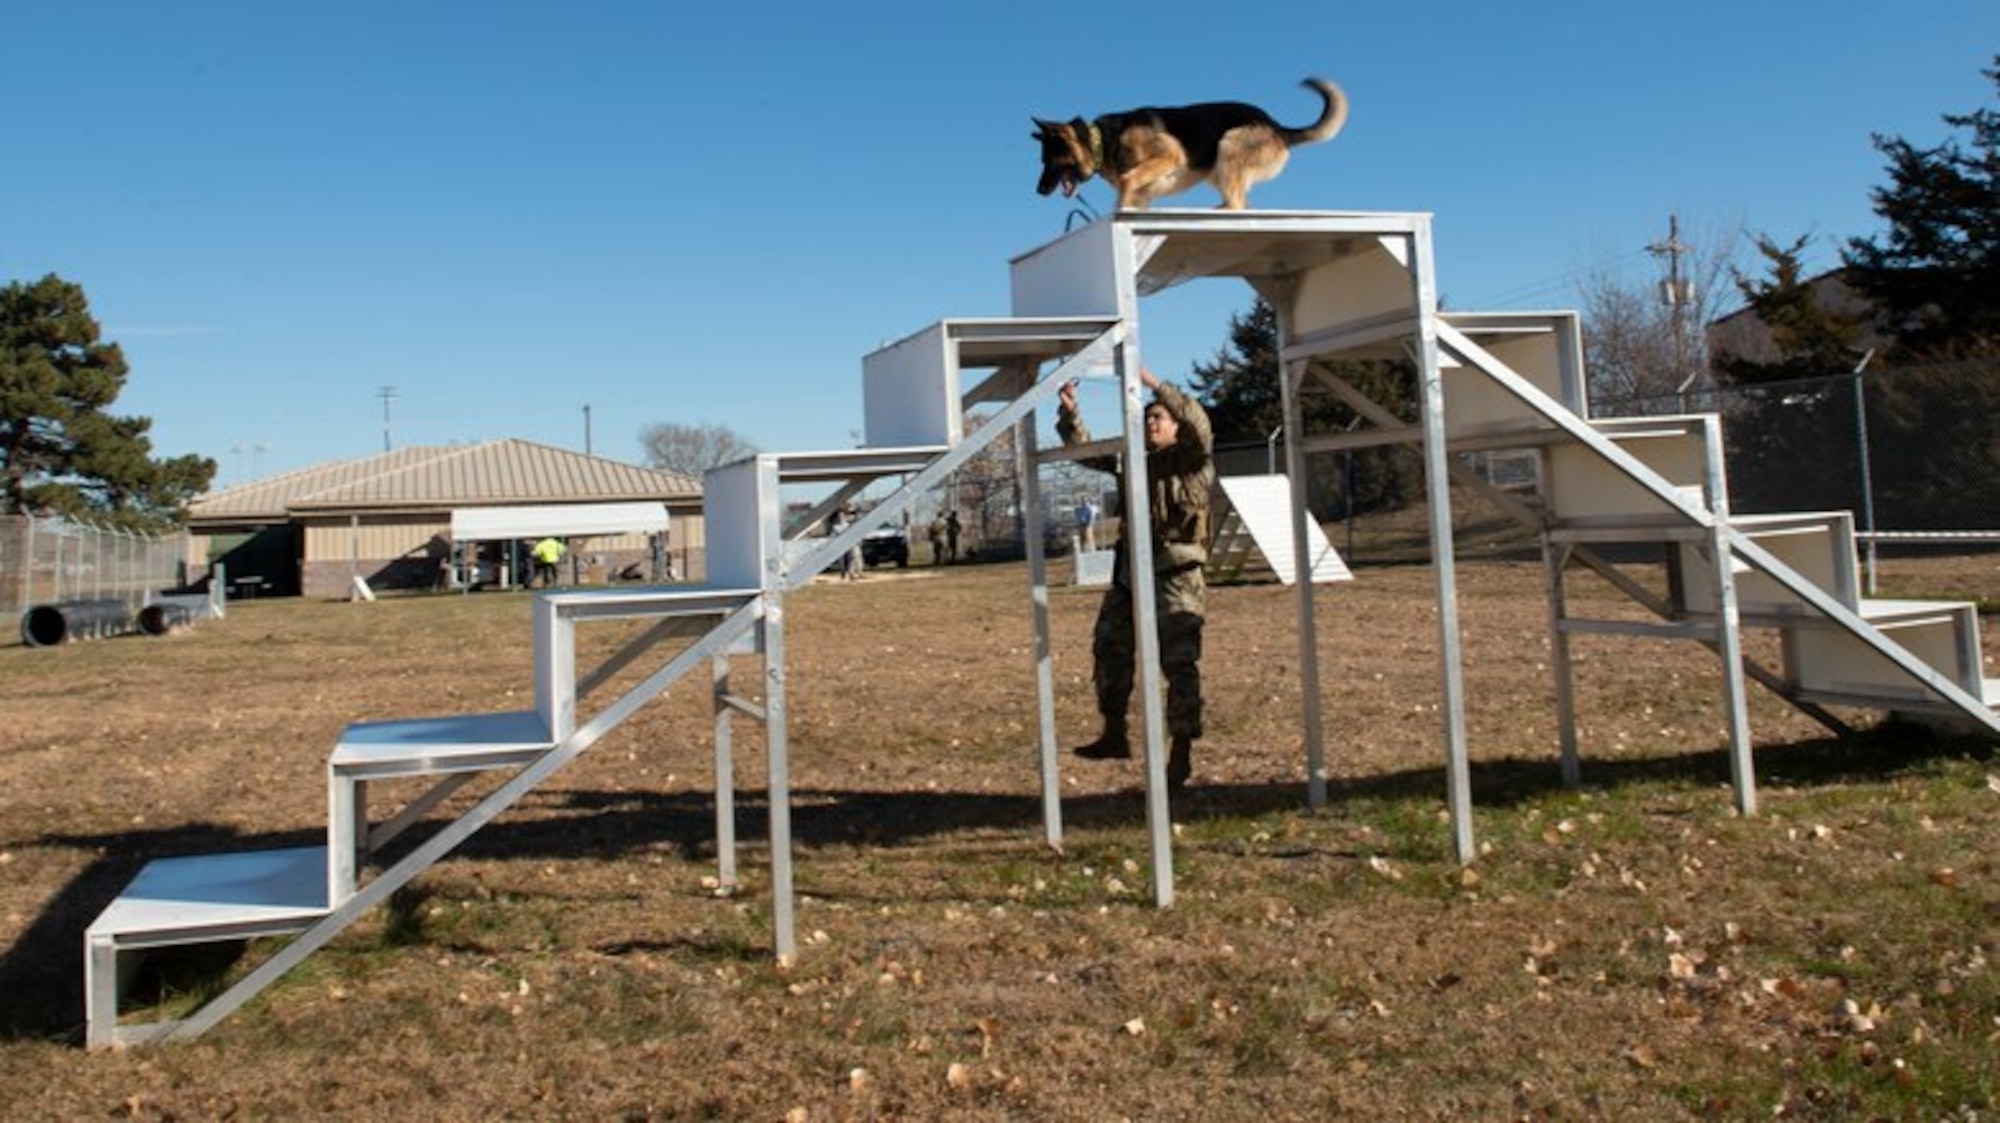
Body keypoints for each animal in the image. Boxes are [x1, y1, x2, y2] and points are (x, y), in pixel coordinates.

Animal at [1032, 78, 1344, 211]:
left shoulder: (1170, 156)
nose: (1039, 191)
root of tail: (1277, 126)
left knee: (1237, 205)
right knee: (1239, 203)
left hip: (1228, 145)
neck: (1103, 141)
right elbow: (1130, 192)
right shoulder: (1143, 198)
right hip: (1218, 169)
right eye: (1042, 161)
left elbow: (1127, 179)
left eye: (1050, 159)